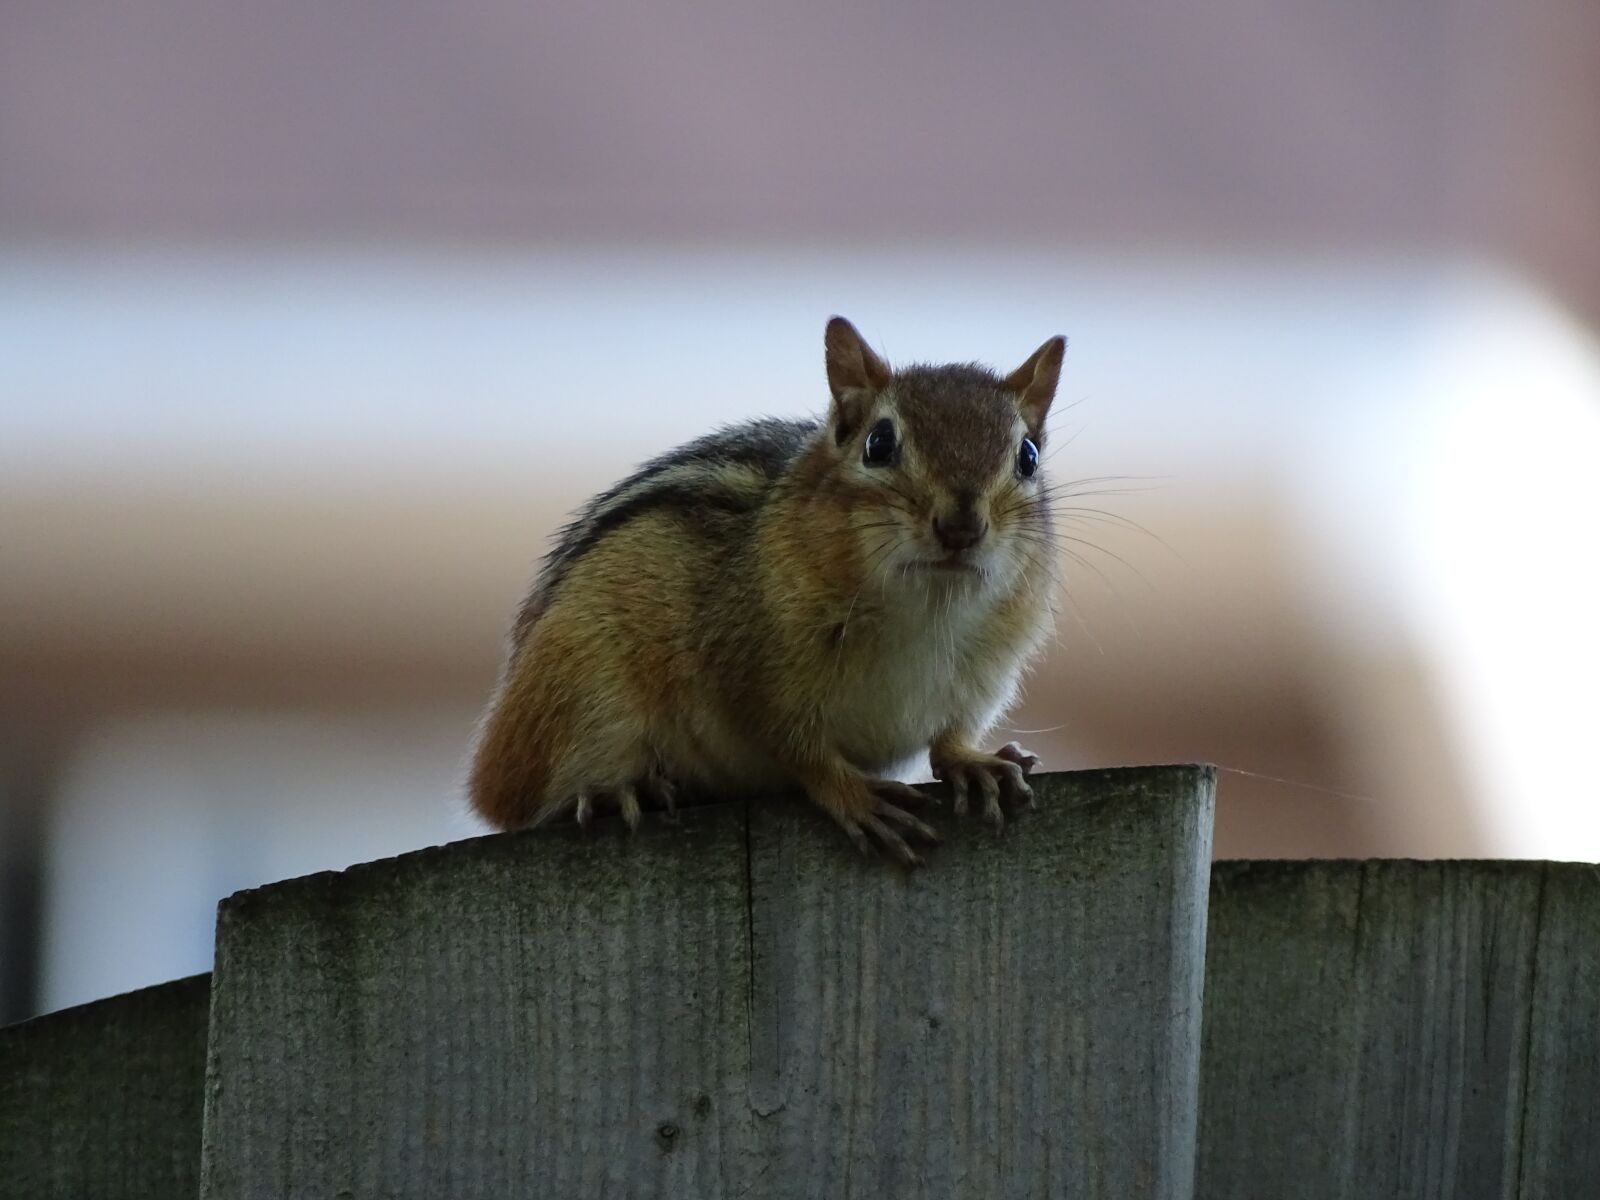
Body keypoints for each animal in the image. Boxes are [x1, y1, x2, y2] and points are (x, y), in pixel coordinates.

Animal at [468, 316, 1063, 865]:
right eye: (879, 443)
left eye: (1028, 456)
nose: (960, 527)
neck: (928, 608)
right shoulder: (749, 673)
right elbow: (796, 748)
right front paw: (852, 795)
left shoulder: (981, 679)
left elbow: (950, 736)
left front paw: (974, 762)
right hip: (580, 691)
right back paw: (618, 791)